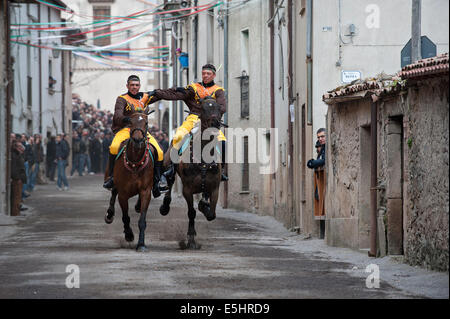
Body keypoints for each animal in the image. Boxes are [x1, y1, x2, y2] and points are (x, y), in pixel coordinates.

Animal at [104, 111, 156, 254]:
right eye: (130, 122)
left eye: (146, 123)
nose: (137, 140)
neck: (135, 163)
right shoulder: (123, 193)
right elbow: (125, 217)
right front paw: (129, 235)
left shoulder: (145, 191)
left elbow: (142, 220)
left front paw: (141, 244)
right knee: (113, 193)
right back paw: (109, 215)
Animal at [160, 97, 227, 250]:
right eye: (203, 108)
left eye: (219, 108)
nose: (214, 124)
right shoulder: (187, 190)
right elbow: (191, 212)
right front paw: (190, 239)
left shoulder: (214, 188)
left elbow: (211, 214)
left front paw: (204, 207)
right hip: (168, 164)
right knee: (170, 181)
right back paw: (165, 206)